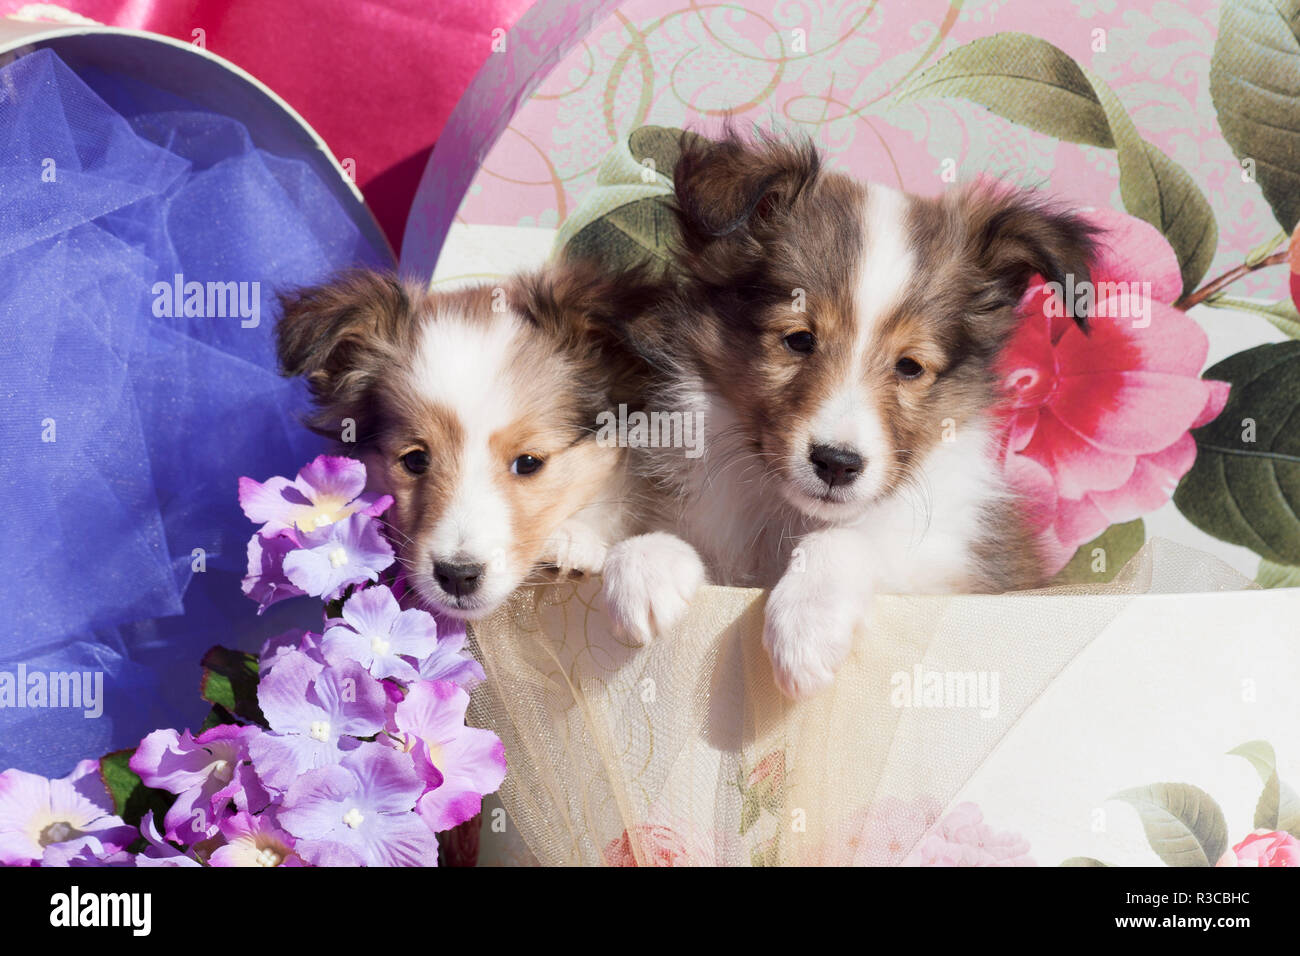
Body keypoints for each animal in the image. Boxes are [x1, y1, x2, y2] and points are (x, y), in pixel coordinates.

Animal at [613, 130, 1102, 697]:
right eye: (798, 339)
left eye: (909, 366)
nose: (837, 464)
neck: (792, 517)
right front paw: (643, 568)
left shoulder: (953, 568)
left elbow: (850, 539)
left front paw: (805, 626)